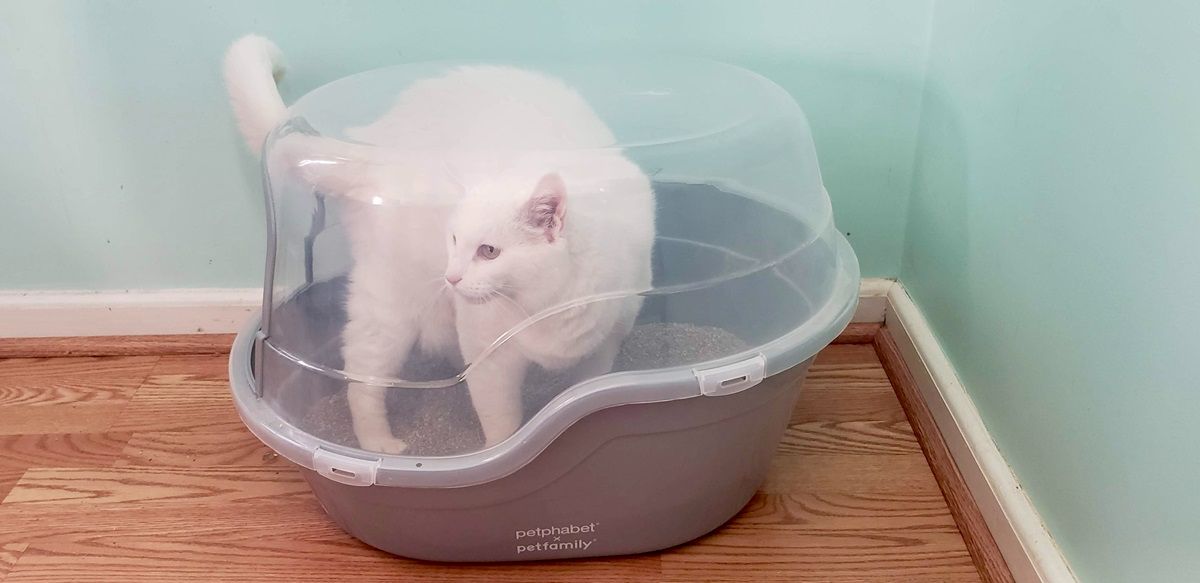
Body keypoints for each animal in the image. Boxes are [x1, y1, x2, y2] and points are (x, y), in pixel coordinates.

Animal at [225, 36, 657, 453]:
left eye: (488, 251)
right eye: (454, 240)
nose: (452, 277)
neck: (543, 308)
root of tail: (370, 141)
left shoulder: (605, 343)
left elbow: (586, 386)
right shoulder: (491, 357)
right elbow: (501, 421)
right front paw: (498, 452)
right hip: (391, 306)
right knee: (362, 378)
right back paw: (379, 442)